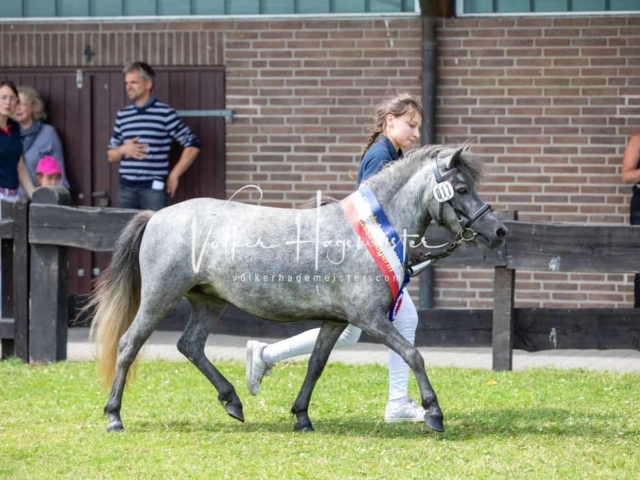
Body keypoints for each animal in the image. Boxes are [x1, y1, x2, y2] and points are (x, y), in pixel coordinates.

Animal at [90, 144, 508, 434]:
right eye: (461, 187)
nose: (499, 231)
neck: (370, 231)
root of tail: (156, 215)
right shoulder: (370, 319)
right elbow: (413, 354)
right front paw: (434, 412)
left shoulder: (337, 321)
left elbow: (316, 364)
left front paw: (301, 416)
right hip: (159, 297)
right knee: (128, 345)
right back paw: (114, 417)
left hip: (209, 301)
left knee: (189, 345)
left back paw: (233, 402)